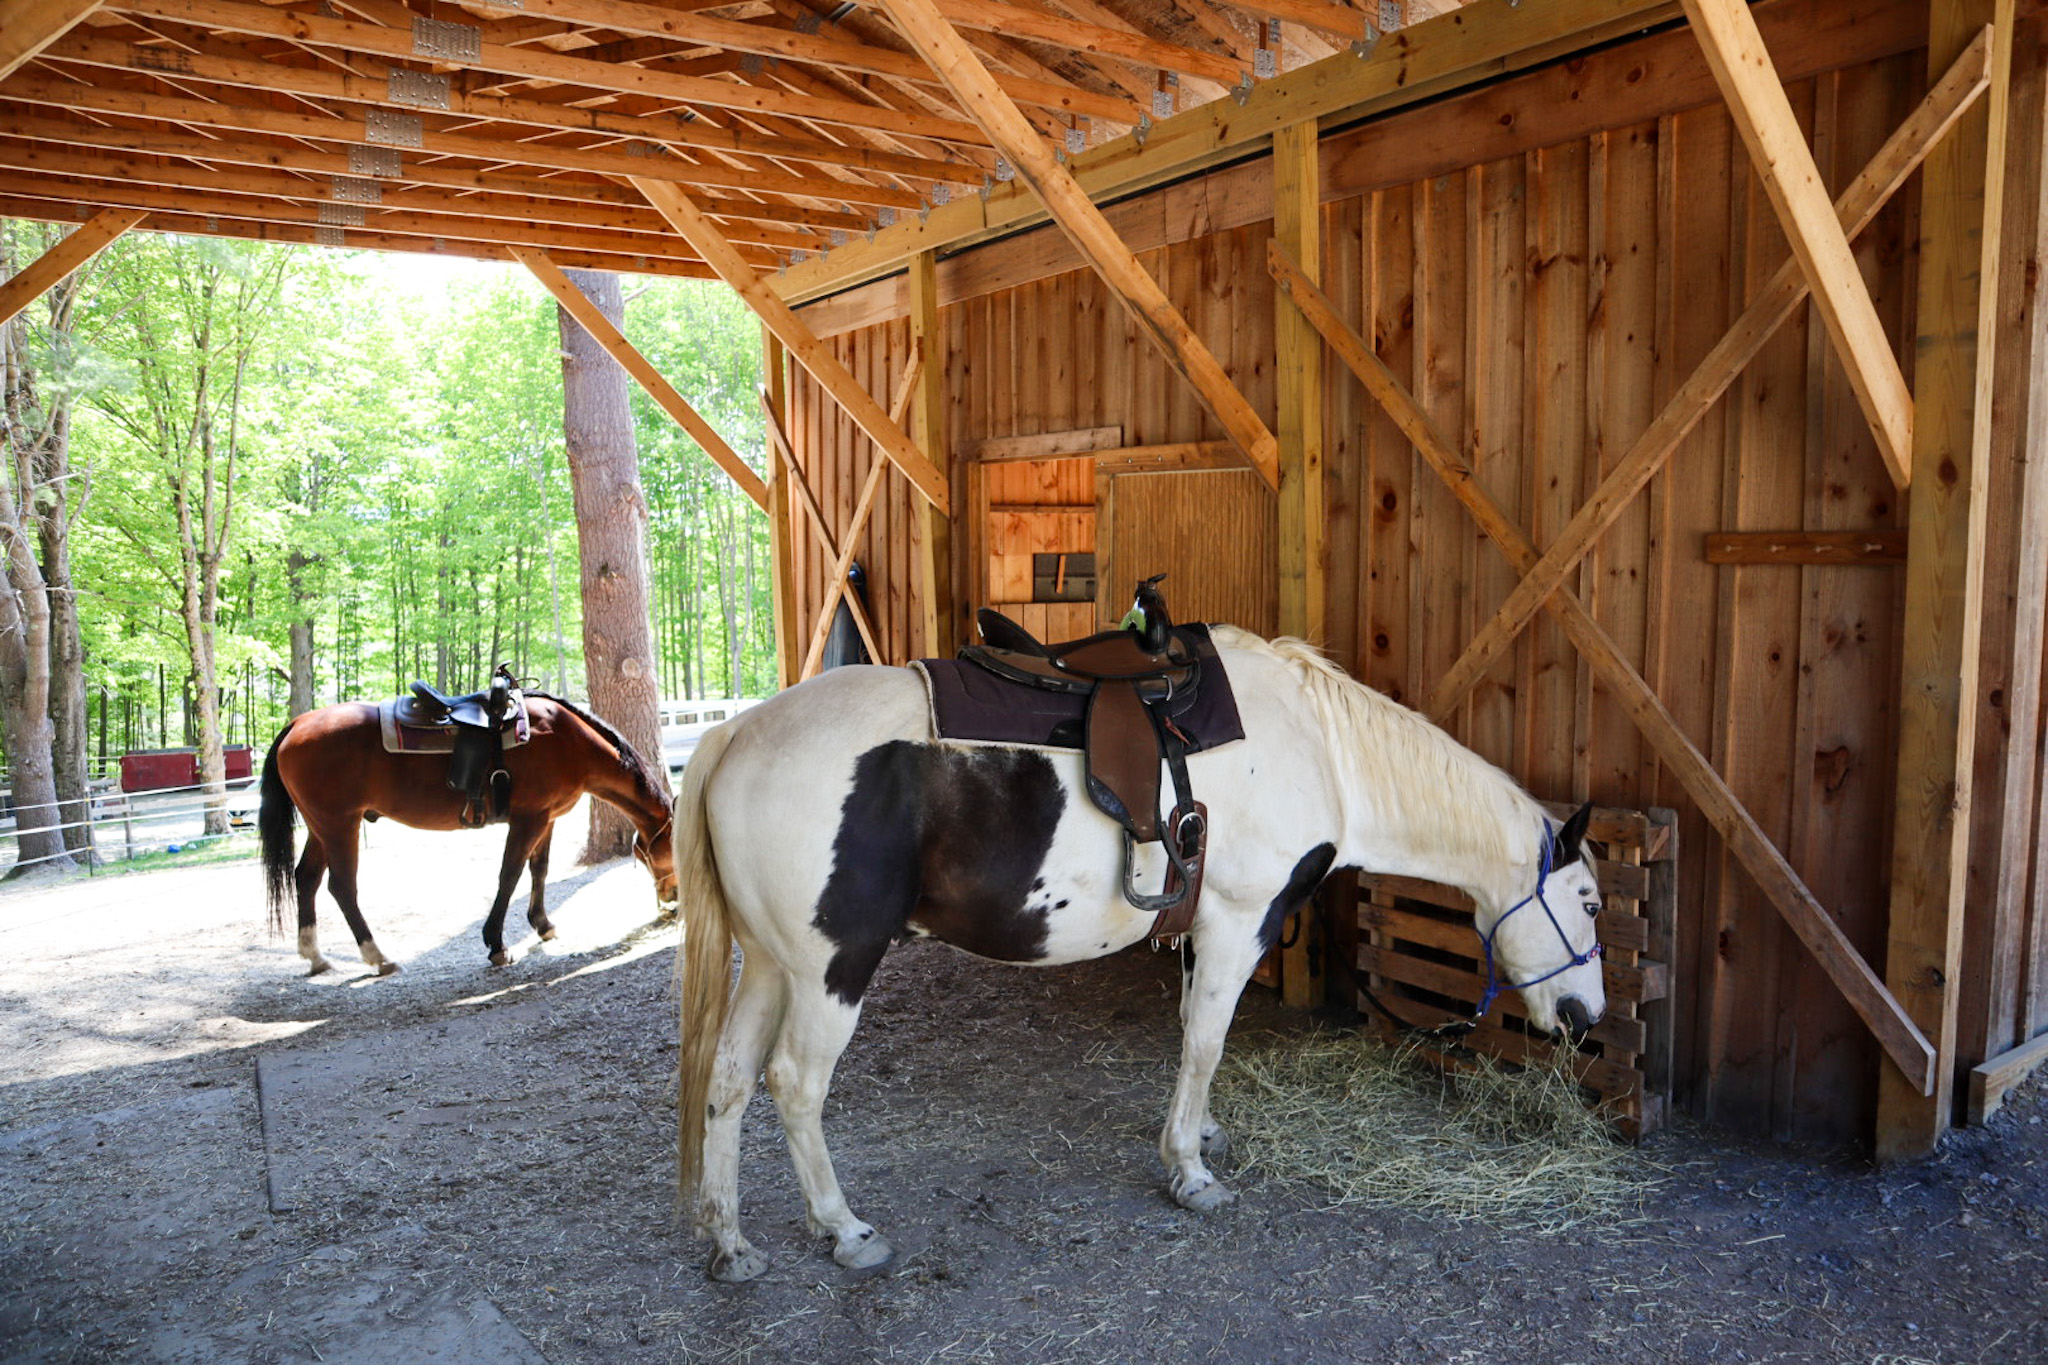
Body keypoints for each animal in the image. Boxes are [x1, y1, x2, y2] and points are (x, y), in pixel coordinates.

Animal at [259, 692, 677, 975]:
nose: (672, 899)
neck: (567, 740)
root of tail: (297, 725)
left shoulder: (547, 820)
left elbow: (539, 870)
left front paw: (543, 925)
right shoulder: (529, 819)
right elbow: (510, 875)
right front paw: (497, 944)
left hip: (321, 827)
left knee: (306, 878)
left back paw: (315, 956)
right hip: (339, 825)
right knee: (342, 887)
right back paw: (378, 957)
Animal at [671, 626, 1607, 1282]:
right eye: (1592, 903)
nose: (1587, 1018)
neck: (1324, 750)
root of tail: (736, 736)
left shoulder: (1201, 926)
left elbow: (1194, 1030)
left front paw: (1203, 1134)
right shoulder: (1240, 919)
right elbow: (1207, 1040)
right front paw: (1188, 1170)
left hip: (770, 965)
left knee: (728, 1081)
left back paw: (729, 1241)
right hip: (830, 970)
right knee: (795, 1084)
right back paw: (845, 1229)